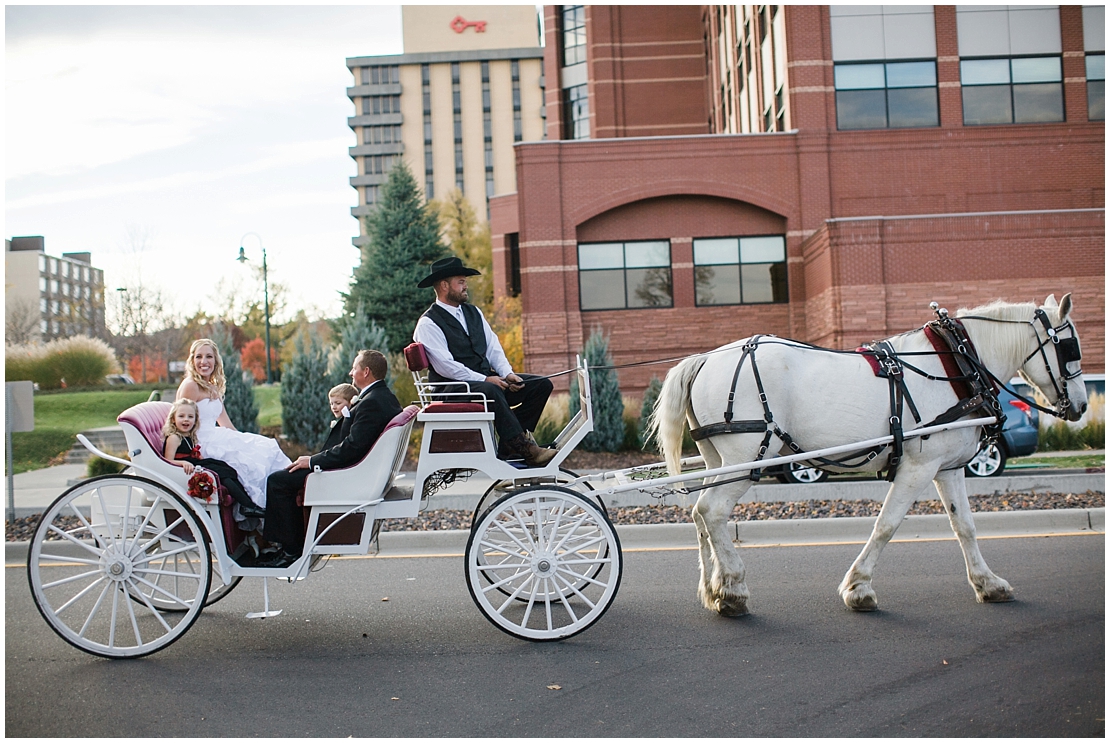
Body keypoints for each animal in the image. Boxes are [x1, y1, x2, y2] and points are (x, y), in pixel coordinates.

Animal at [652, 295, 1087, 613]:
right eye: (1069, 347)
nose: (1081, 407)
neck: (957, 364)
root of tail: (706, 358)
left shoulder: (948, 467)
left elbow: (964, 526)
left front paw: (989, 583)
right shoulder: (918, 466)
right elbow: (886, 525)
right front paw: (858, 588)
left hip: (719, 460)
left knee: (700, 515)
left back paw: (714, 589)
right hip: (747, 457)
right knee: (712, 511)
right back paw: (734, 589)